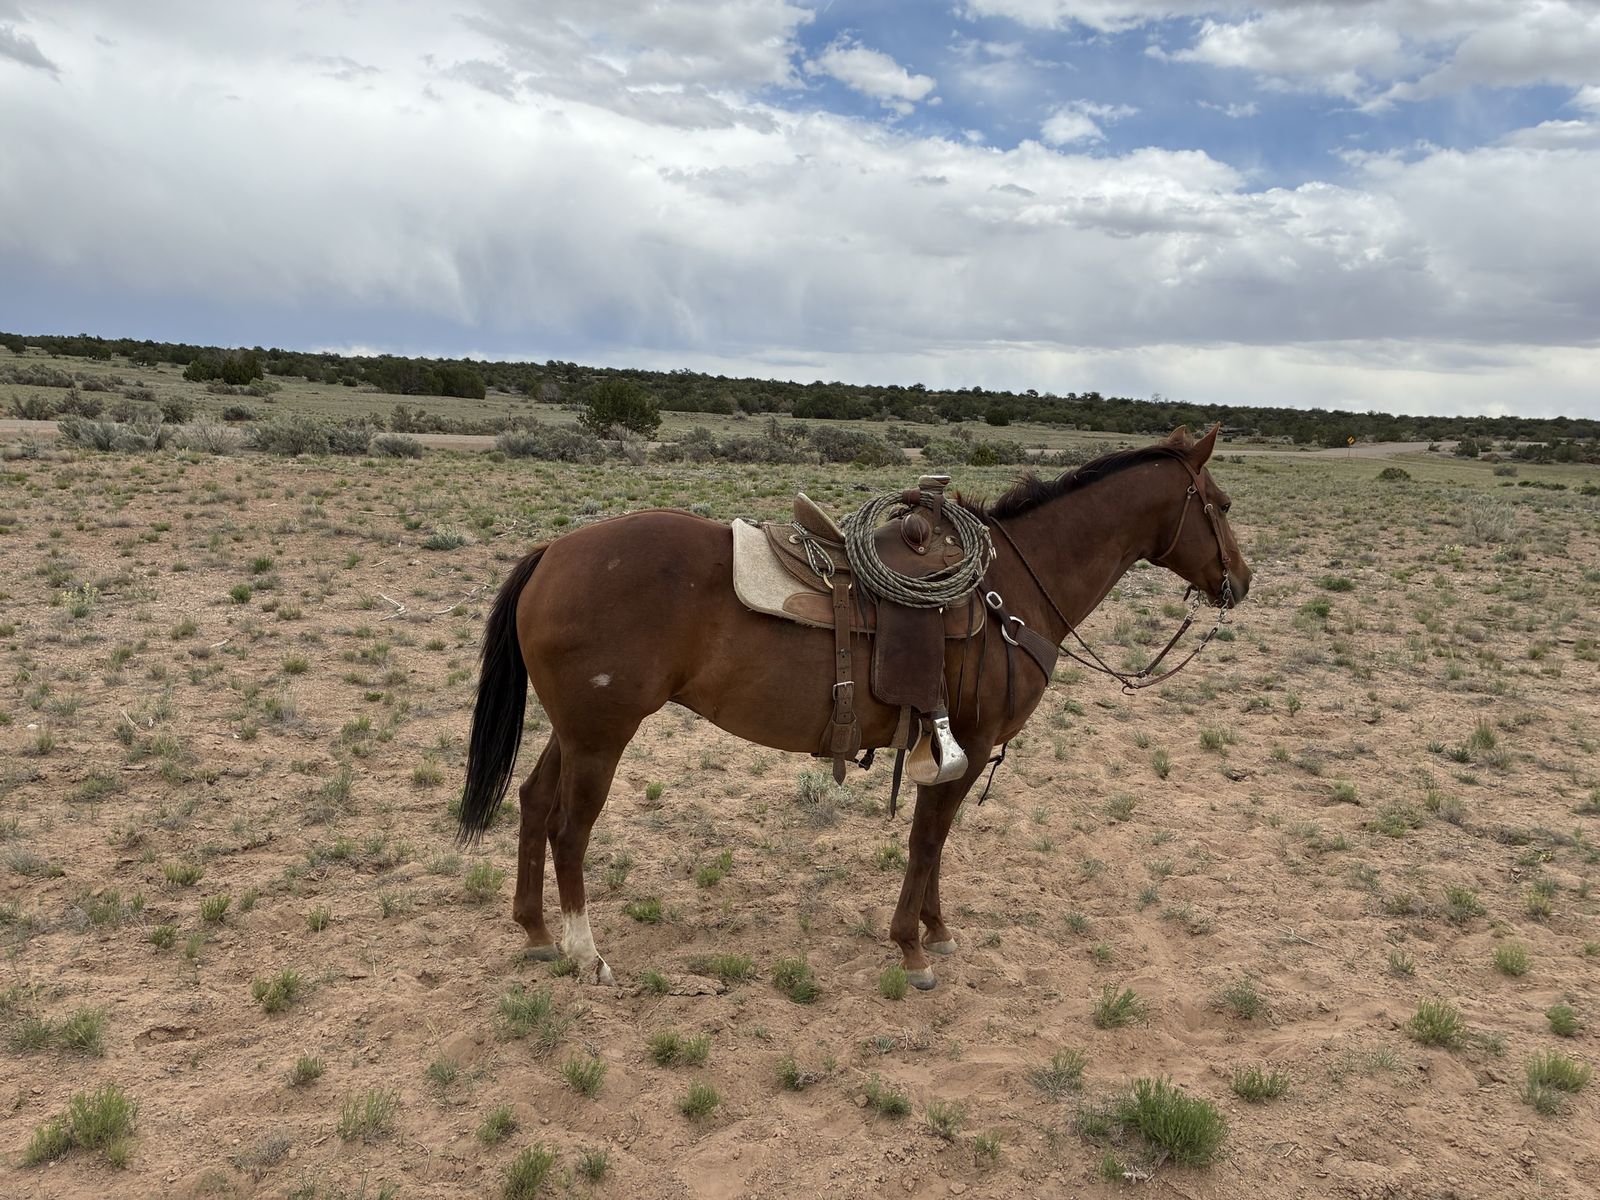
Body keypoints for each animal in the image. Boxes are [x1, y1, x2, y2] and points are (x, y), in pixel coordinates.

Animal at [458, 424, 1252, 990]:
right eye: (1220, 505)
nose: (1239, 582)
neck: (1014, 592)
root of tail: (554, 550)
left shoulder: (947, 748)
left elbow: (936, 842)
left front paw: (936, 930)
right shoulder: (966, 742)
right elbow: (928, 841)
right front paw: (912, 948)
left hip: (576, 728)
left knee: (533, 802)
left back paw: (536, 933)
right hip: (602, 734)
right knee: (569, 829)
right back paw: (585, 955)